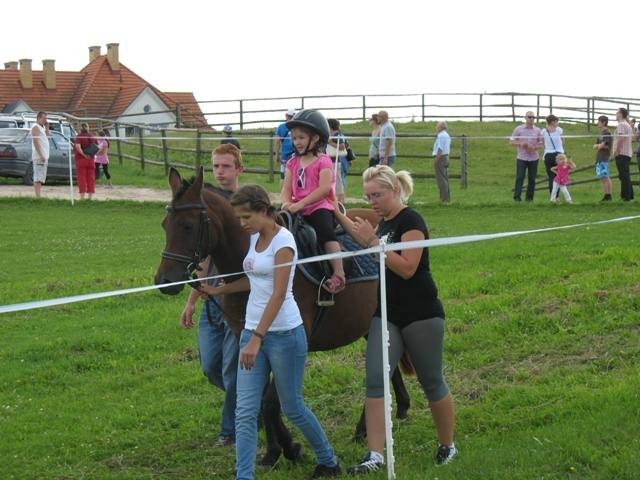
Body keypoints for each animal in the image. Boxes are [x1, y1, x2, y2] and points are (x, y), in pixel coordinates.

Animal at [152, 168, 408, 464]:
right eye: (164, 224)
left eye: (187, 226)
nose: (164, 281)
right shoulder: (247, 339)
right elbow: (262, 397)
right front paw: (276, 450)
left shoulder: (294, 340)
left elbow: (272, 401)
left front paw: (288, 448)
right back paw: (391, 413)